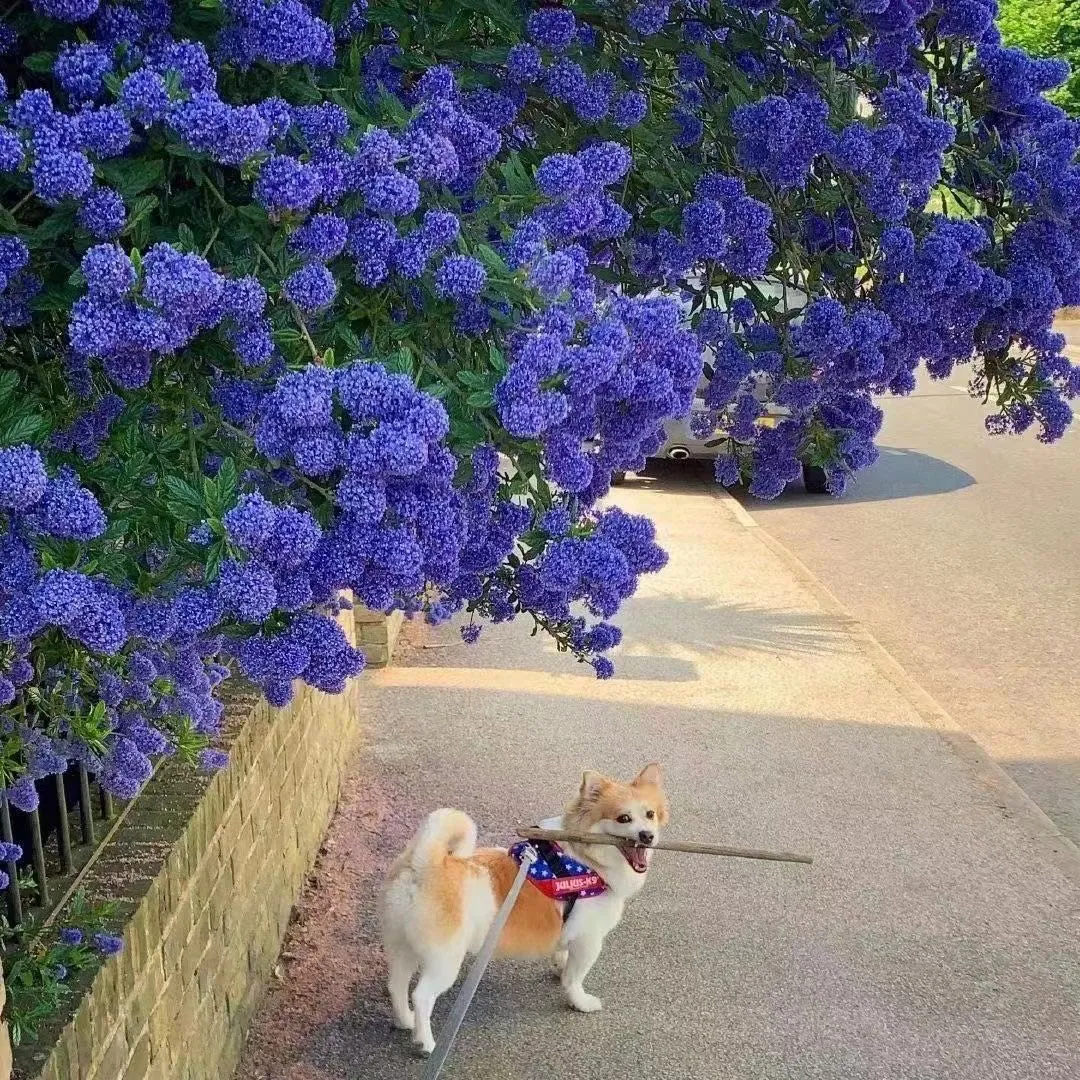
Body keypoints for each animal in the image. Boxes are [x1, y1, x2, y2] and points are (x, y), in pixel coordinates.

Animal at [380, 768, 665, 1054]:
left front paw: (559, 965)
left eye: (650, 814)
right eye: (623, 818)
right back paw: (426, 1042)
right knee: (422, 996)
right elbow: (575, 978)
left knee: (397, 985)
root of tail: (425, 864)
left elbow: (562, 954)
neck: (586, 859)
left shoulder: (568, 930)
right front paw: (579, 1001)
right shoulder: (589, 941)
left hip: (403, 946)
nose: (647, 836)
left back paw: (405, 1020)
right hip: (445, 960)